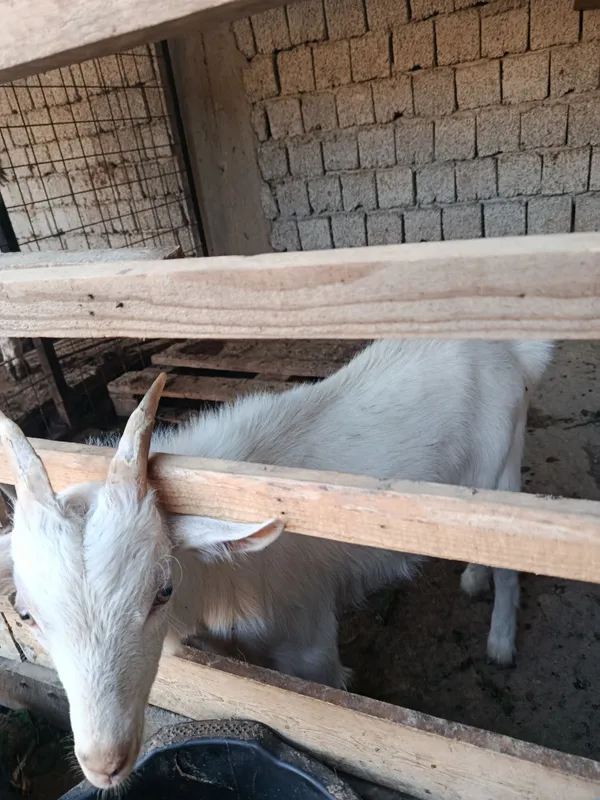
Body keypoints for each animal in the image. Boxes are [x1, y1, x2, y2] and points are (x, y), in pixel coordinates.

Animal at [0, 339, 554, 789]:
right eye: (25, 614)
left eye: (161, 590)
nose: (104, 763)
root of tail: (509, 349)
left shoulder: (310, 646)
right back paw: (473, 577)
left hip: (502, 471)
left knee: (511, 560)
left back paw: (500, 641)